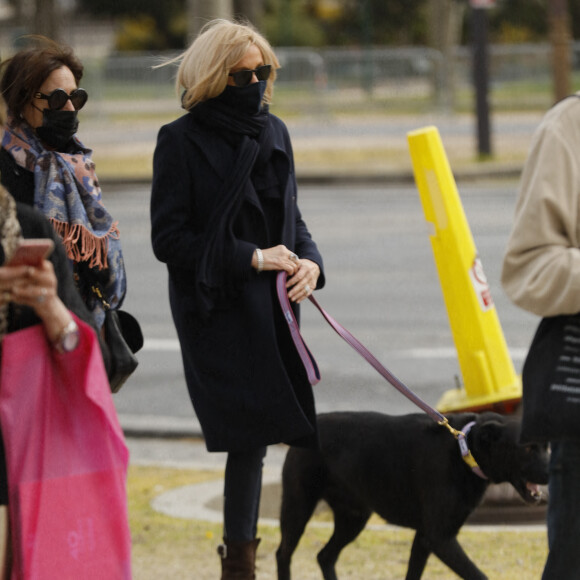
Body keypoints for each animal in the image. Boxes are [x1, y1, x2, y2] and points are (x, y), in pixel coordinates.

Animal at [276, 410, 548, 580]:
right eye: (527, 448)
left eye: (546, 447)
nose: (553, 471)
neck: (464, 449)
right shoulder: (440, 538)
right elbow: (478, 574)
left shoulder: (425, 537)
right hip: (298, 509)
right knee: (283, 554)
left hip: (353, 518)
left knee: (325, 556)